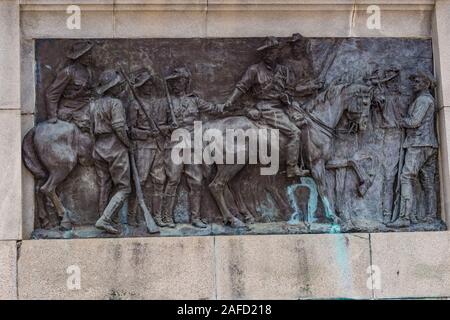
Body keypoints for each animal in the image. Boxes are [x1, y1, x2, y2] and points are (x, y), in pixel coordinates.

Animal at [204, 82, 372, 228]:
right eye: (365, 102)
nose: (364, 125)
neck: (317, 123)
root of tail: (214, 127)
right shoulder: (316, 164)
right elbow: (323, 188)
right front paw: (334, 217)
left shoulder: (325, 162)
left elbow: (351, 162)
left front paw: (364, 185)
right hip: (234, 164)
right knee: (217, 186)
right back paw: (233, 219)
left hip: (243, 164)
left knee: (235, 186)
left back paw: (248, 216)